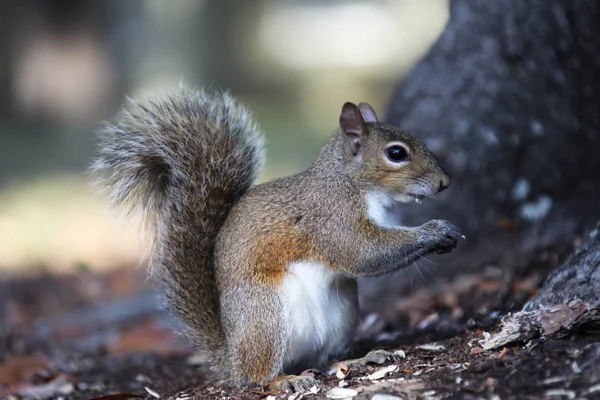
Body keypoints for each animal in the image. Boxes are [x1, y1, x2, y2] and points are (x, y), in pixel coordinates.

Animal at [90, 87, 464, 390]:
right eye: (396, 154)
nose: (445, 182)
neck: (350, 181)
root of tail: (231, 357)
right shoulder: (331, 217)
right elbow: (361, 254)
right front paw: (435, 231)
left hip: (341, 314)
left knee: (321, 359)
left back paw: (356, 359)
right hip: (265, 315)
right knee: (257, 375)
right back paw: (282, 380)